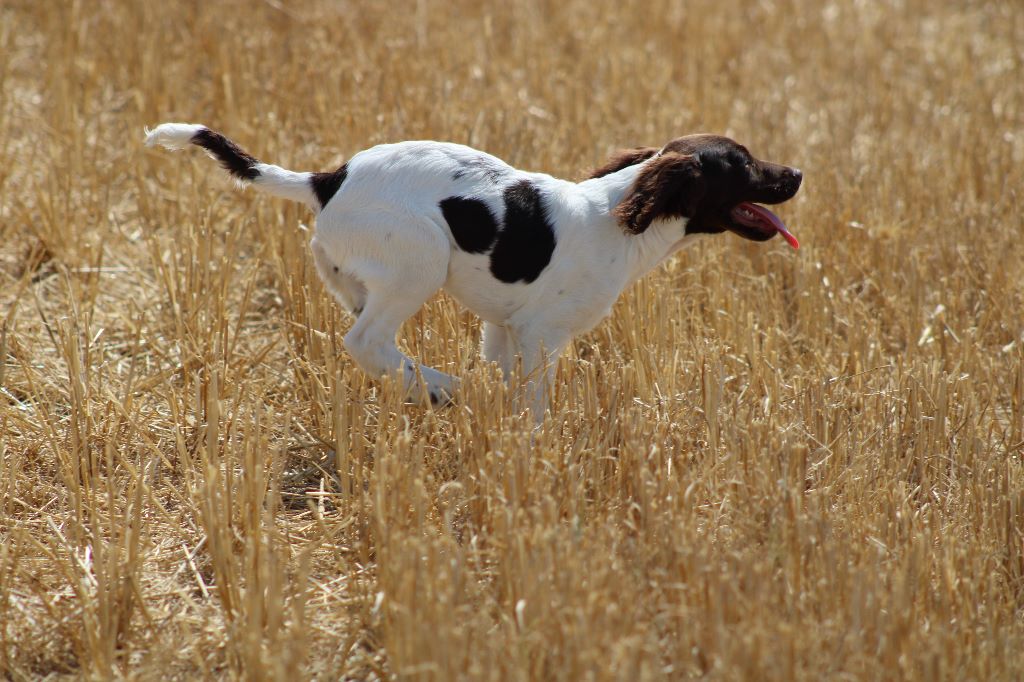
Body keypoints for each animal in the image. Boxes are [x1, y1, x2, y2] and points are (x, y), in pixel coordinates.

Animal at [146, 125, 798, 417]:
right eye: (741, 165)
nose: (795, 173)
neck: (619, 216)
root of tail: (328, 179)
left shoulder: (505, 327)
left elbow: (508, 384)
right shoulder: (540, 333)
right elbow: (534, 402)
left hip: (358, 279)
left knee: (375, 345)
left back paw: (427, 387)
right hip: (422, 259)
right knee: (365, 341)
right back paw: (442, 387)